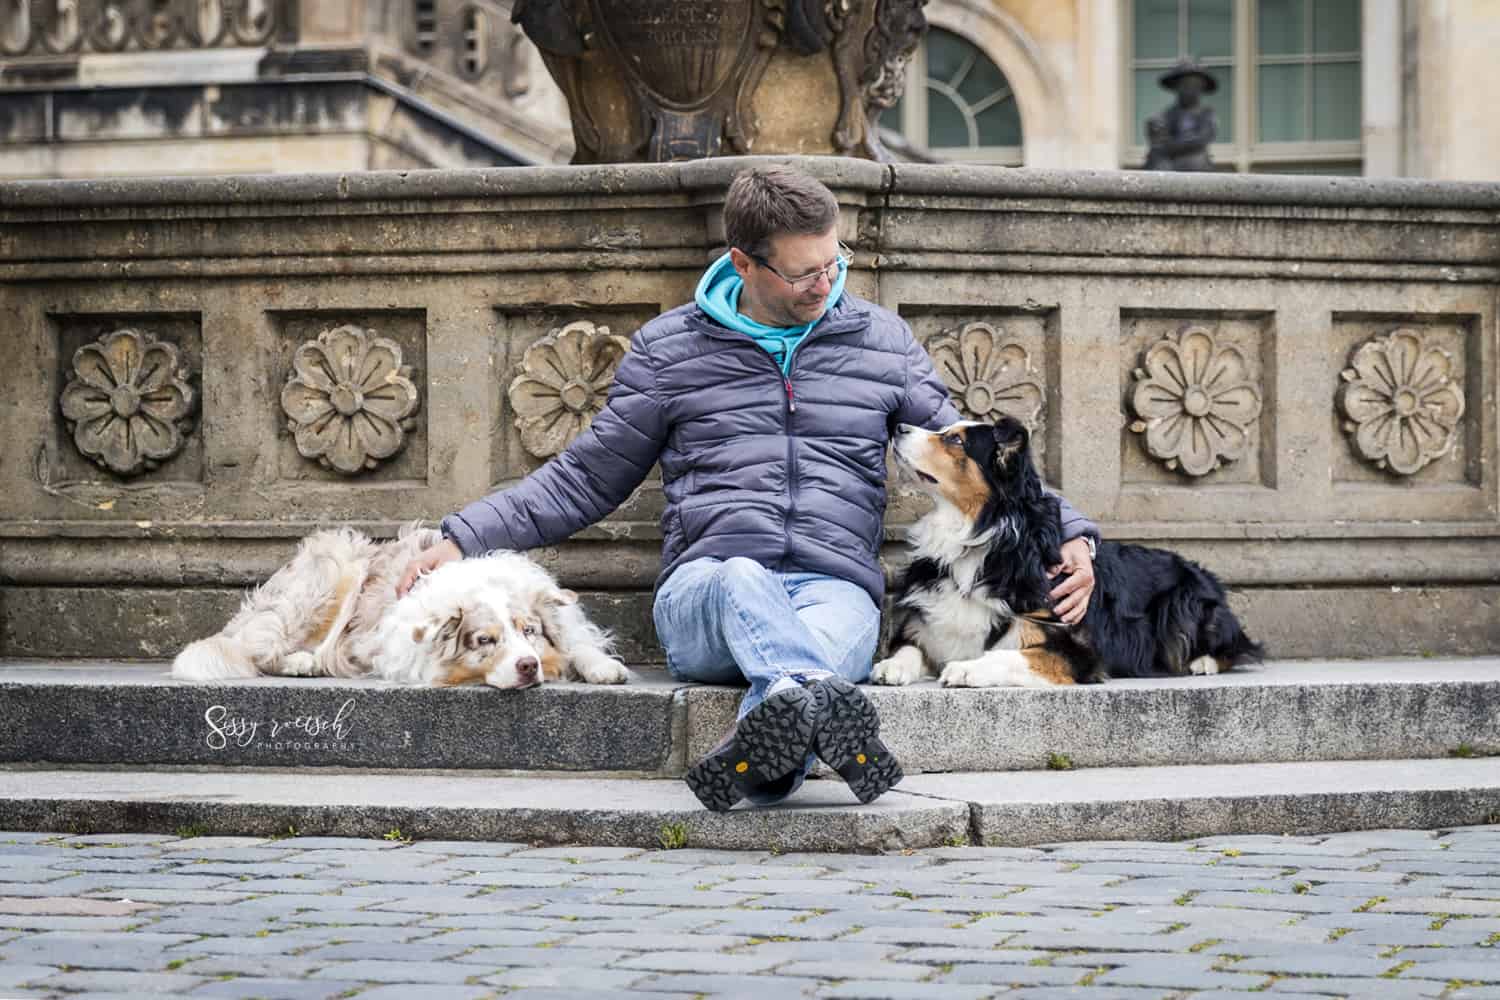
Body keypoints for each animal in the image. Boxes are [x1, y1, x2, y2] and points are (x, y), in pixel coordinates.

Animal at [171, 530, 627, 689]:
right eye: (484, 640)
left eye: (529, 630)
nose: (528, 665)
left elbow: (578, 643)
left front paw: (602, 667)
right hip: (334, 568)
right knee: (259, 649)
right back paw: (301, 661)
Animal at [876, 416, 1260, 689]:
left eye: (955, 440)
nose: (897, 426)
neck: (979, 536)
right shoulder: (929, 626)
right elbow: (909, 646)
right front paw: (891, 665)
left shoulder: (1078, 651)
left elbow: (1013, 656)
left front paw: (967, 669)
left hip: (1185, 605)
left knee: (1238, 646)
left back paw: (1203, 662)